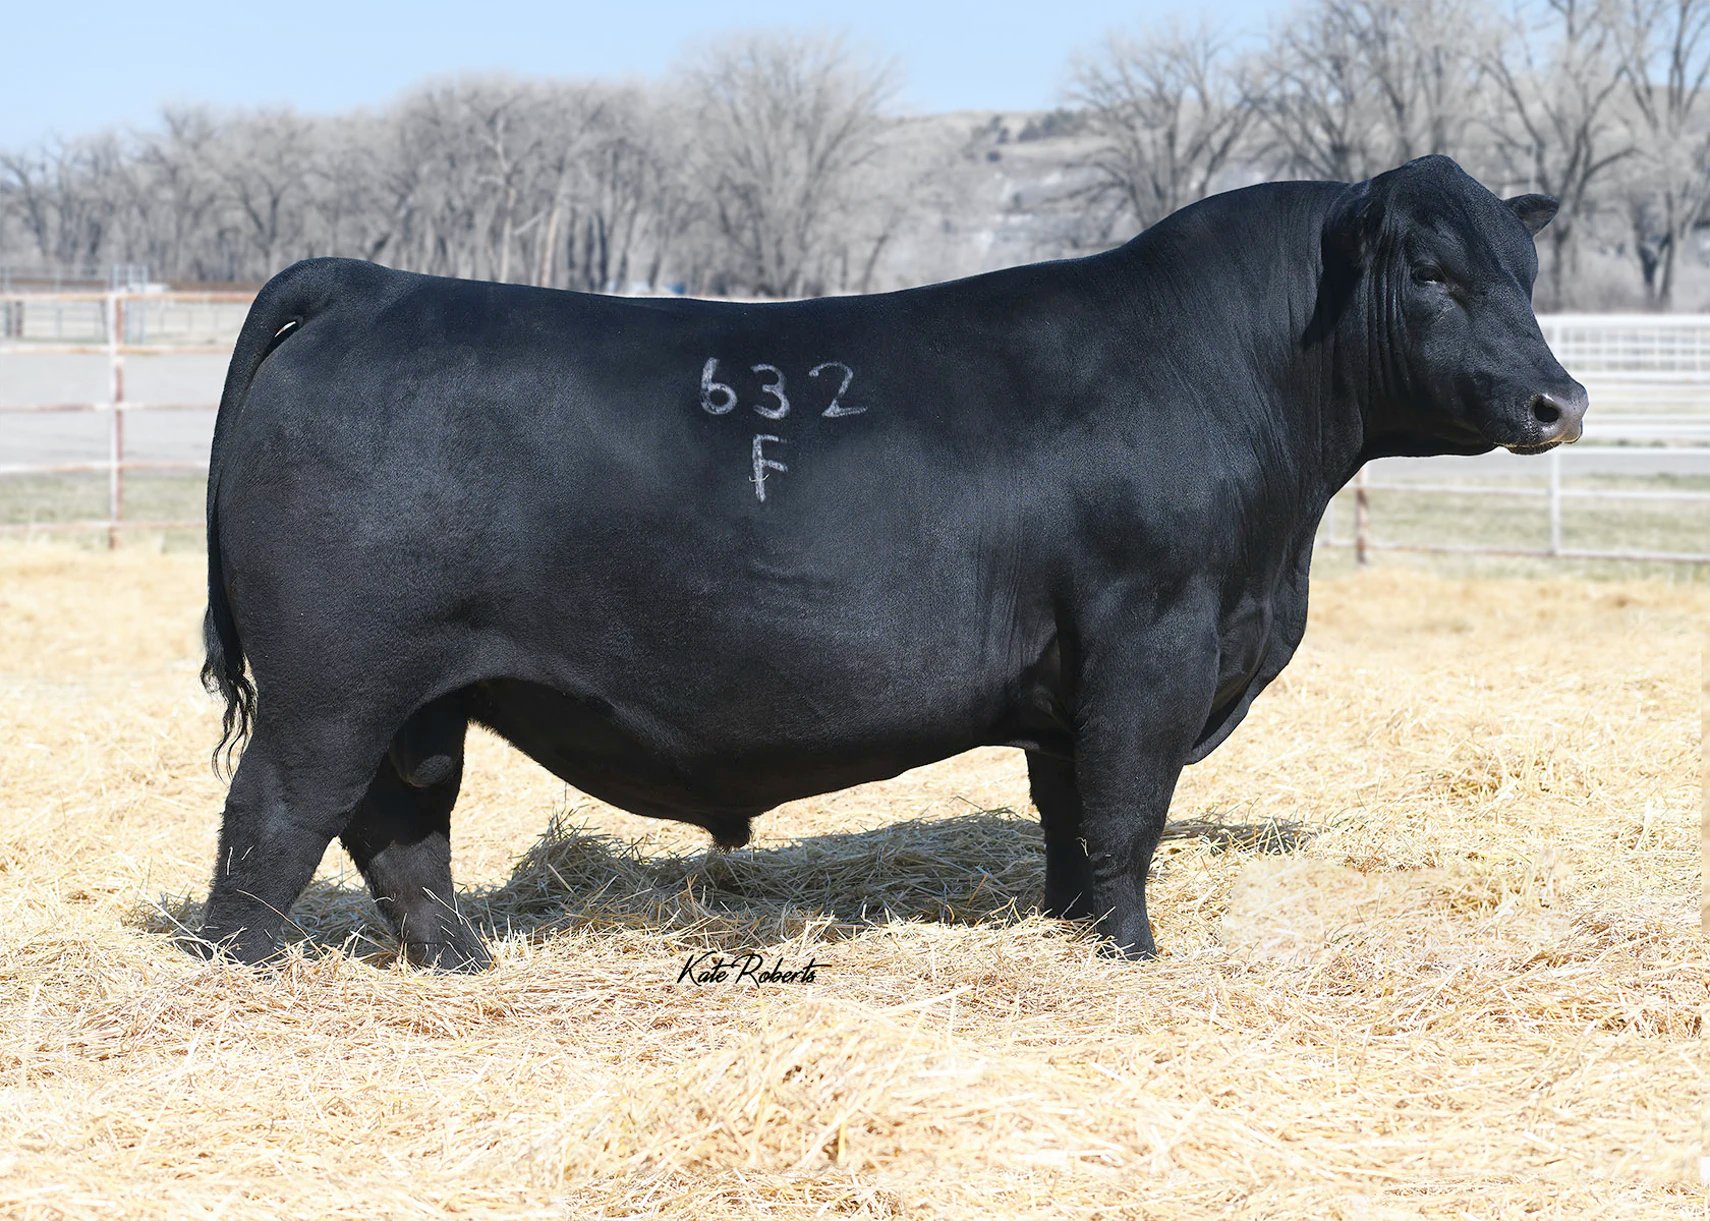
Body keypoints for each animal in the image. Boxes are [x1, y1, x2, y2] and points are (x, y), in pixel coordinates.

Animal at [191, 154, 1586, 971]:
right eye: (1433, 271)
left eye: (1524, 269)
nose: (1558, 401)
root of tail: (374, 283)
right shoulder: (1154, 640)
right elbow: (1129, 809)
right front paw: (1134, 953)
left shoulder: (1073, 682)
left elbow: (1069, 815)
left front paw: (1070, 928)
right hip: (337, 680)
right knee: (276, 822)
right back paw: (237, 974)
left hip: (423, 694)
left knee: (401, 829)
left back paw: (462, 961)